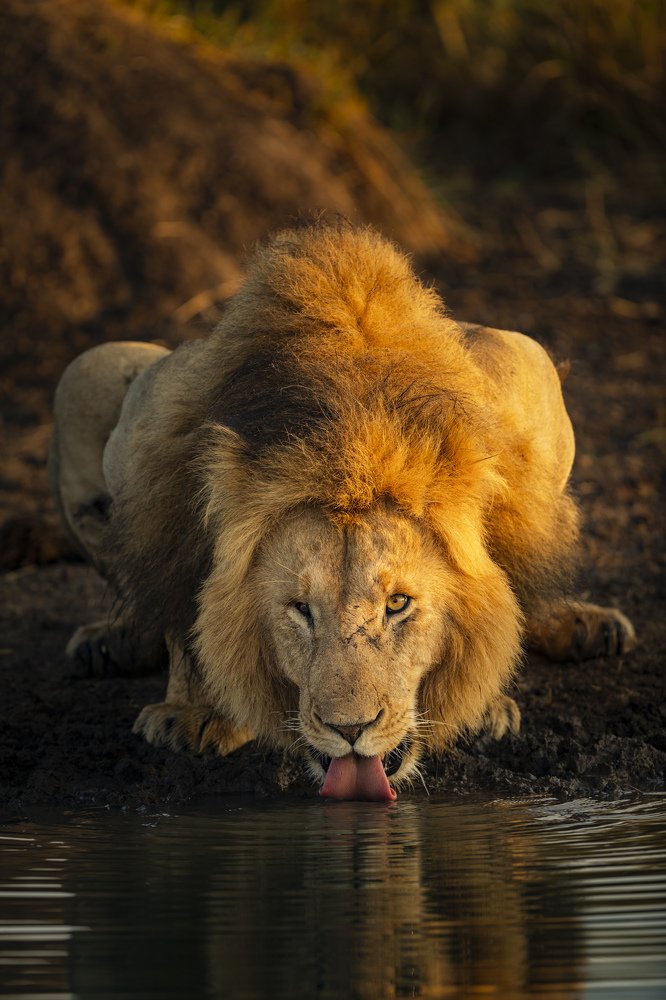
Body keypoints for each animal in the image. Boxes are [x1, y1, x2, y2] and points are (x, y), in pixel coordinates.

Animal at [50, 221, 635, 800]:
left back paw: (586, 624)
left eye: (398, 604)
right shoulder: (152, 434)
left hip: (526, 358)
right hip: (87, 372)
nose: (350, 729)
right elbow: (182, 607)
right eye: (299, 609)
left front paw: (481, 702)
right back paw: (112, 640)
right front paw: (194, 711)